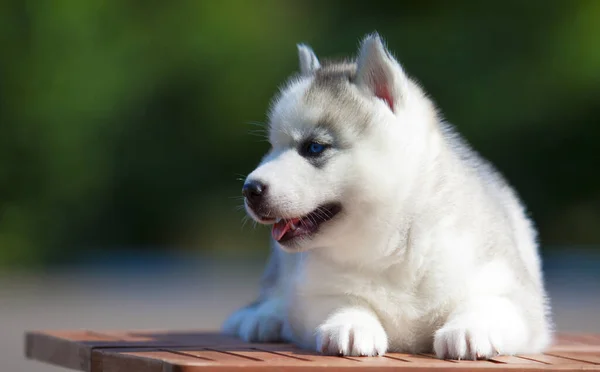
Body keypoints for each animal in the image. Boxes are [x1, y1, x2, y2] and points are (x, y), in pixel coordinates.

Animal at [223, 33, 552, 358]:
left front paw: (470, 328)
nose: (250, 189)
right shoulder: (314, 293)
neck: (393, 243)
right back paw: (263, 317)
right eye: (272, 147)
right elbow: (341, 301)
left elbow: (489, 303)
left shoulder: (507, 287)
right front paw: (351, 323)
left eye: (314, 147)